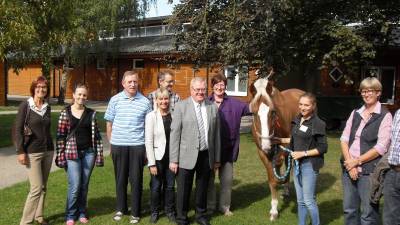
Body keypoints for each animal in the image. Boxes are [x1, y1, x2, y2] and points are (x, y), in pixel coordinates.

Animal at [250, 75, 304, 220]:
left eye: (273, 112)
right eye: (253, 113)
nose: (266, 145)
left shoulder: (283, 149)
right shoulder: (262, 153)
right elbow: (272, 181)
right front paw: (274, 209)